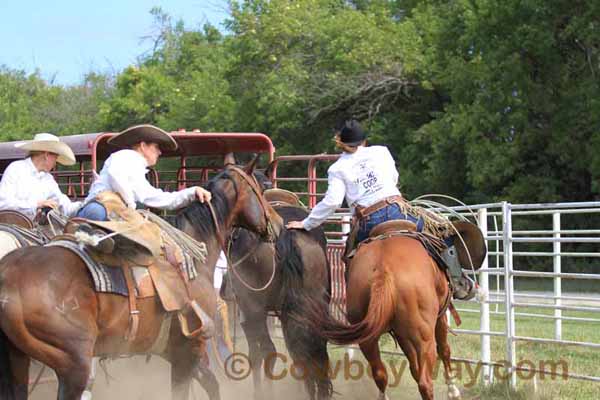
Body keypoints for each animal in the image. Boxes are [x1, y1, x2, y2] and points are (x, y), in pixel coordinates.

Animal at [0, 161, 282, 400]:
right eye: (260, 188)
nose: (279, 224)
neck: (193, 259)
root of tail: (9, 282)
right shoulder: (188, 347)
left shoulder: (177, 349)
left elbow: (211, 383)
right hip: (74, 363)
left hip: (18, 360)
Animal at [300, 233, 464, 400]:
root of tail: (383, 270)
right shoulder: (440, 317)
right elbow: (444, 350)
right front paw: (453, 391)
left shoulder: (401, 334)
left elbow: (413, 365)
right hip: (424, 337)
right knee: (425, 382)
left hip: (366, 338)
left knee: (380, 373)